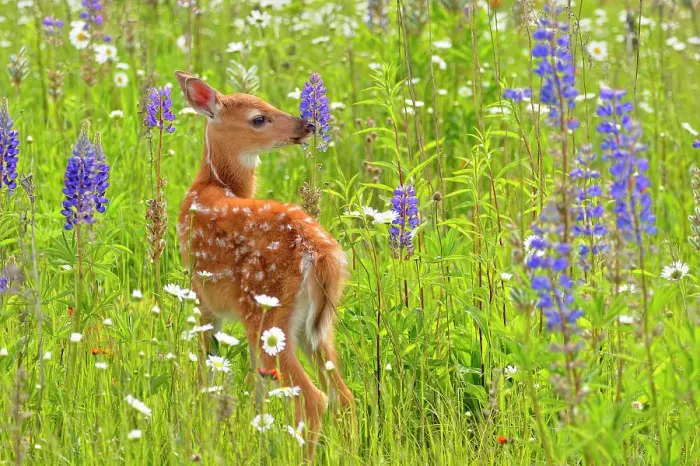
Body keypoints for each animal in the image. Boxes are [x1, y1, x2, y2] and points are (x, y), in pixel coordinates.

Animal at [173, 71, 355, 457]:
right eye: (259, 117)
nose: (308, 124)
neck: (212, 184)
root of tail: (320, 254)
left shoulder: (203, 296)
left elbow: (206, 365)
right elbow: (257, 388)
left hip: (267, 315)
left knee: (313, 399)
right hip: (315, 327)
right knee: (343, 396)